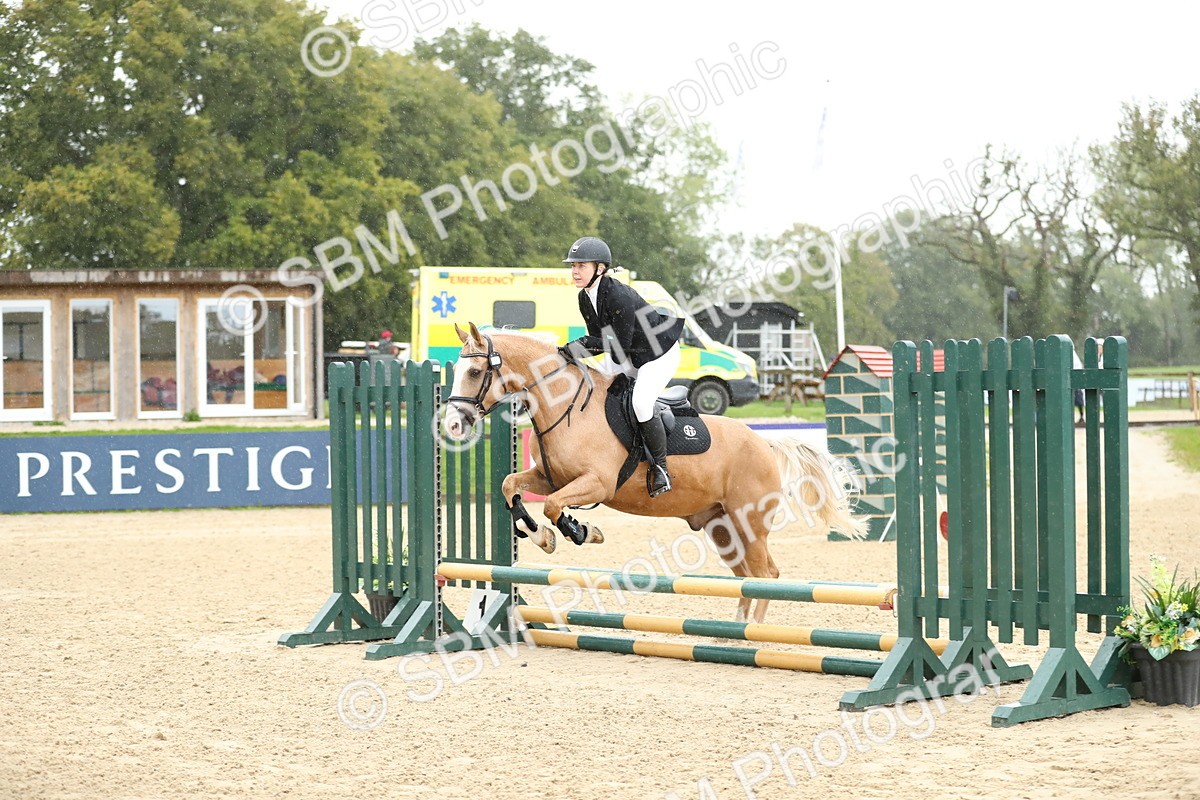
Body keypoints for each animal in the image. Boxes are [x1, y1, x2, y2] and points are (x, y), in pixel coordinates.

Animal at [441, 322, 867, 622]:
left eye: (475, 372)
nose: (454, 425)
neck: (564, 405)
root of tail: (764, 442)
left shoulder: (596, 484)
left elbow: (552, 506)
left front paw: (581, 531)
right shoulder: (550, 478)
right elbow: (510, 486)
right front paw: (540, 536)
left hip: (751, 524)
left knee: (766, 575)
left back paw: (754, 634)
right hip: (722, 528)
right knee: (748, 575)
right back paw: (734, 633)